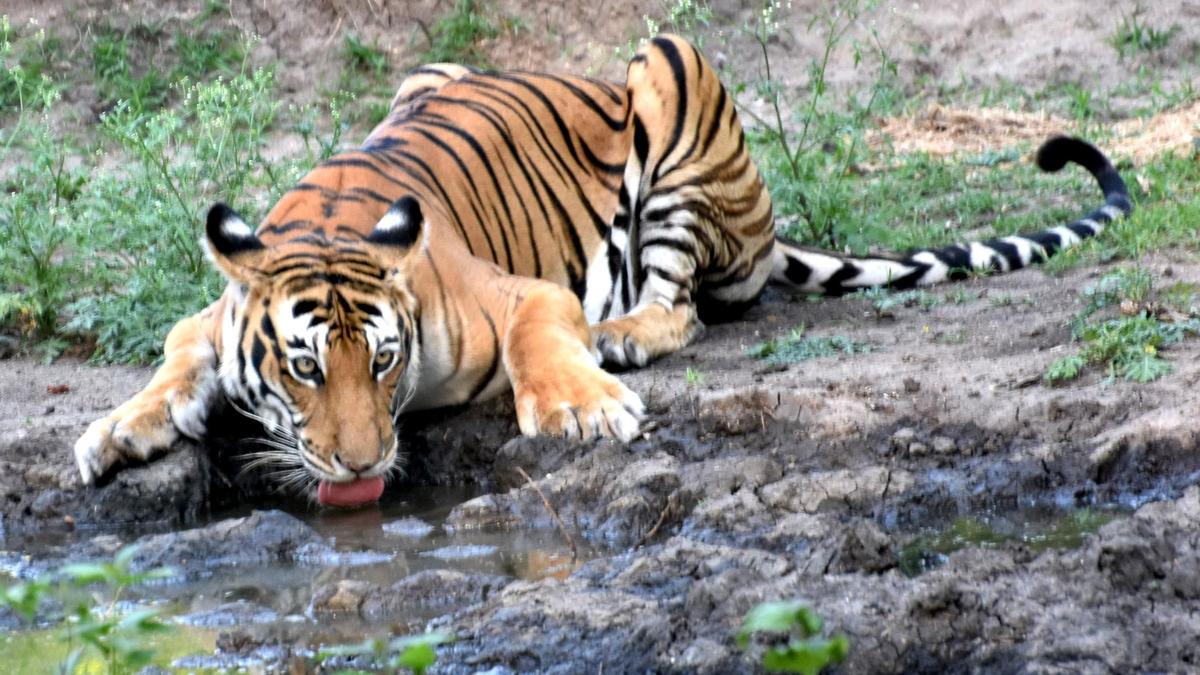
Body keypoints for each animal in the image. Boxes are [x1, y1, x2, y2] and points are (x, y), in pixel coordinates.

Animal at [73, 35, 1131, 506]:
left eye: (381, 359)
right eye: (303, 367)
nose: (366, 464)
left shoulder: (521, 292)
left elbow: (544, 335)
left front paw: (583, 405)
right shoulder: (207, 320)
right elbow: (171, 360)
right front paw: (118, 429)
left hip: (672, 73)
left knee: (684, 304)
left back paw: (620, 336)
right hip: (430, 72)